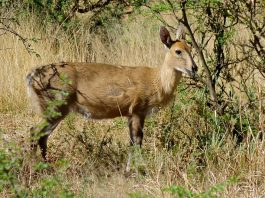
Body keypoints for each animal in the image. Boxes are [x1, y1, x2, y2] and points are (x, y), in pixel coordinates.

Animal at [27, 25, 196, 169]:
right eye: (178, 51)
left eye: (190, 48)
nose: (194, 68)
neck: (156, 82)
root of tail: (31, 76)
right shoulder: (138, 109)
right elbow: (137, 141)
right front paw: (134, 171)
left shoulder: (130, 113)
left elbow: (132, 142)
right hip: (55, 105)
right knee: (34, 132)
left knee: (42, 136)